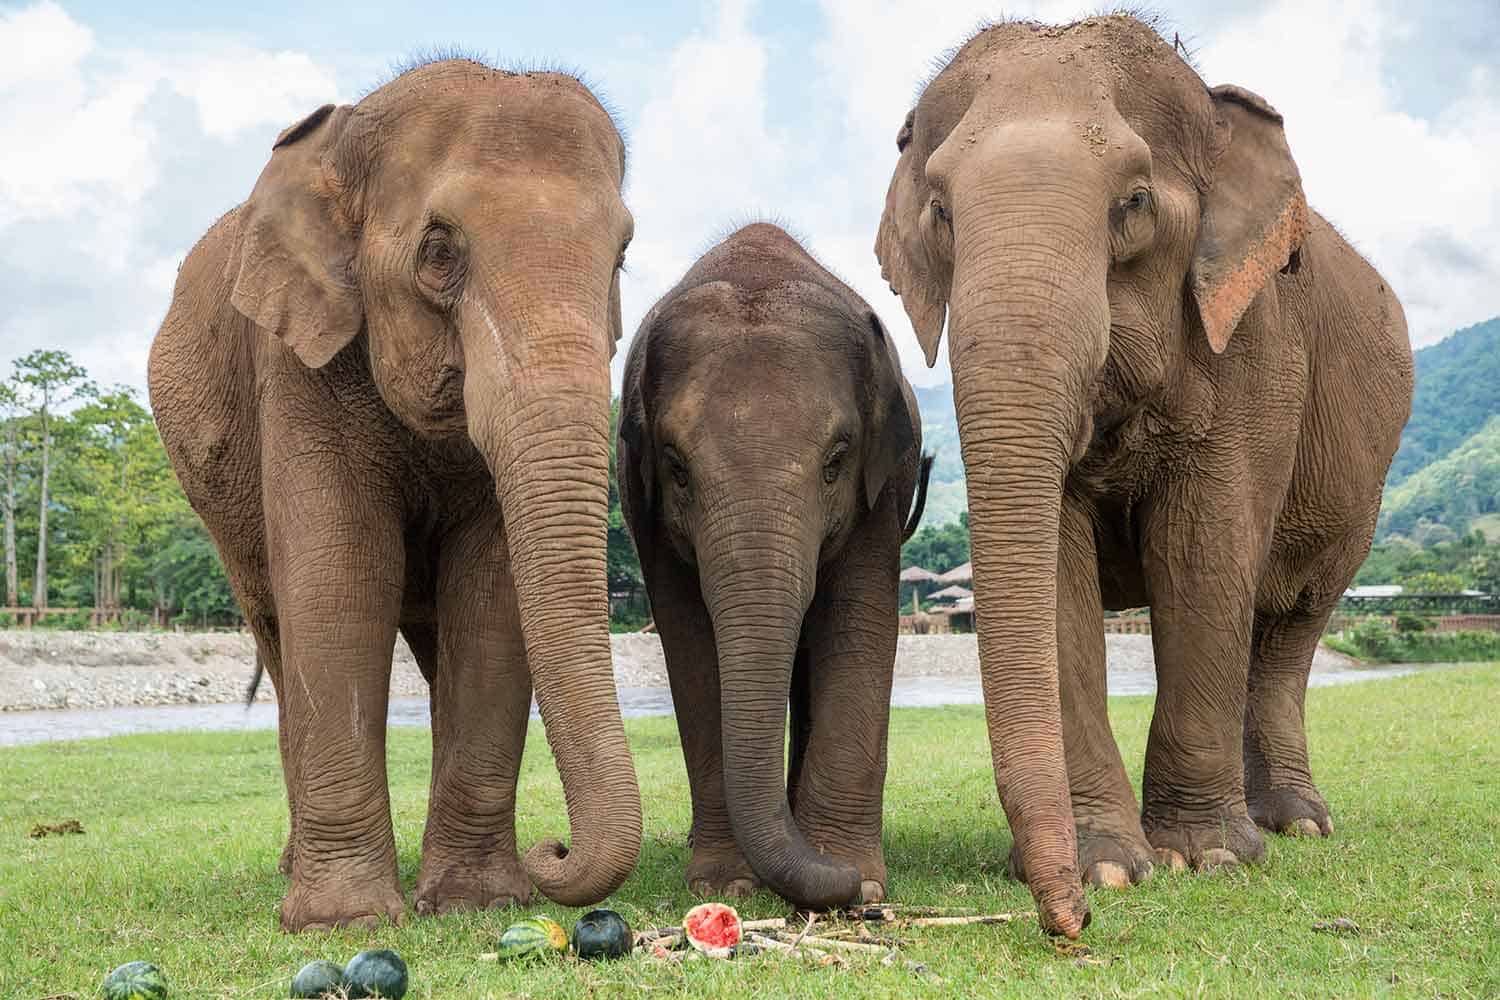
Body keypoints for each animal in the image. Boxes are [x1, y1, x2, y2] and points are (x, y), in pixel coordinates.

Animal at [148, 59, 642, 932]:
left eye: (620, 255)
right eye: (438, 251)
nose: (552, 848)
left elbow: (490, 596)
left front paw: (475, 904)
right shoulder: (296, 363)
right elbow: (340, 581)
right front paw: (345, 922)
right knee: (278, 636)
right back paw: (291, 872)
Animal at [618, 224, 931, 909]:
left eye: (836, 461)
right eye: (676, 467)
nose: (846, 887)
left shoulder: (883, 491)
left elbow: (858, 625)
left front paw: (857, 876)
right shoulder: (641, 502)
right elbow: (689, 642)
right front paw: (725, 883)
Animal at [874, 16, 1413, 936]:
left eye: (1132, 204)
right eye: (941, 212)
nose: (1068, 923)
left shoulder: (1255, 344)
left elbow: (1202, 555)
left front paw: (1207, 859)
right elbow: (1059, 573)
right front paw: (1110, 868)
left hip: (1361, 496)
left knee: (1290, 628)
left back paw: (1294, 825)